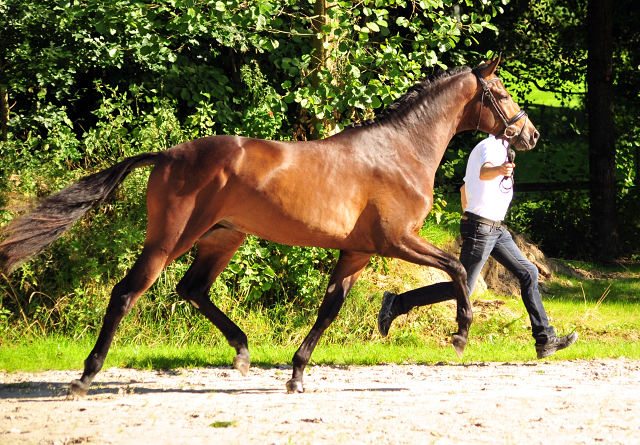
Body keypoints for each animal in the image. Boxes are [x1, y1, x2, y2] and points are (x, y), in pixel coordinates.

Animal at [0, 55, 536, 392]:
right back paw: (86, 376)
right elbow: (457, 269)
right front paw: (461, 335)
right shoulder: (397, 240)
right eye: (501, 92)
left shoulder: (357, 252)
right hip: (170, 239)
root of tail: (168, 155)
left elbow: (329, 309)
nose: (528, 134)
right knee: (127, 293)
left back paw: (241, 351)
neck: (400, 150)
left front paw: (296, 374)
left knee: (192, 289)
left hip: (222, 238)